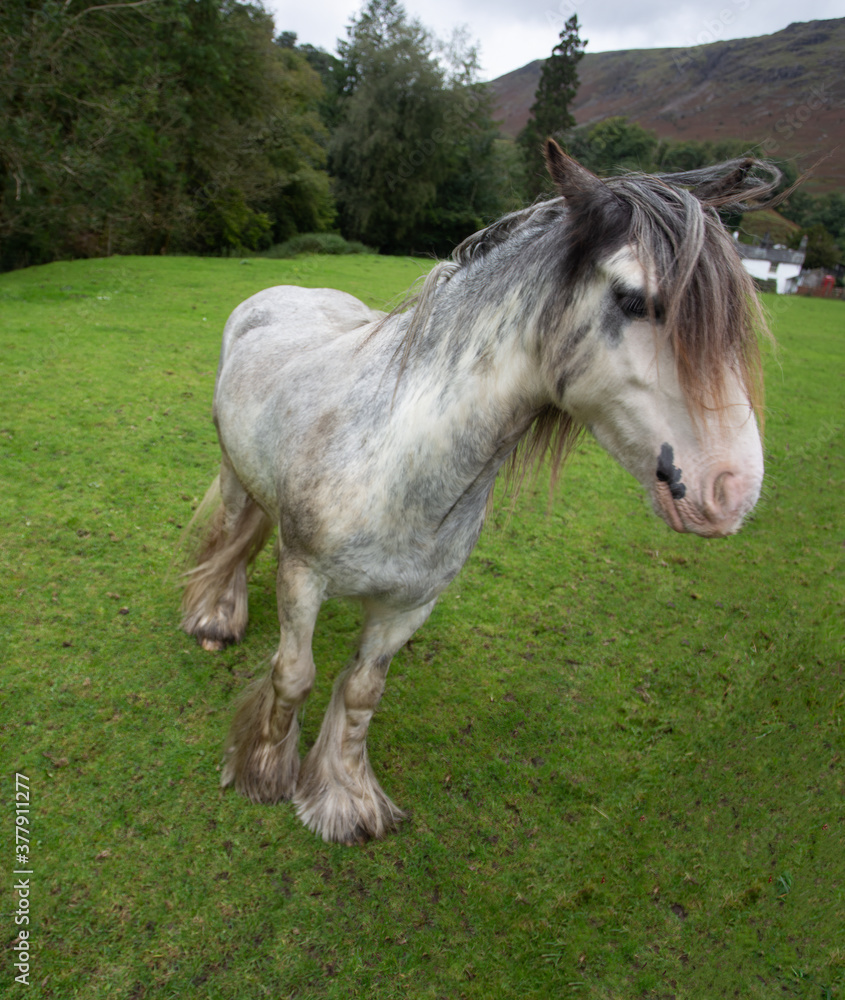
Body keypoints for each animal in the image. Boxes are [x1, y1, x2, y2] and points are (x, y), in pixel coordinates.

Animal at [181, 140, 778, 844]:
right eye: (634, 299)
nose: (732, 489)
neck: (399, 460)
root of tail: (285, 291)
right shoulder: (302, 575)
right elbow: (293, 675)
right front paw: (265, 771)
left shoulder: (410, 604)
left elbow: (360, 696)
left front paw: (345, 800)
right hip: (234, 470)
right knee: (232, 535)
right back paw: (216, 617)